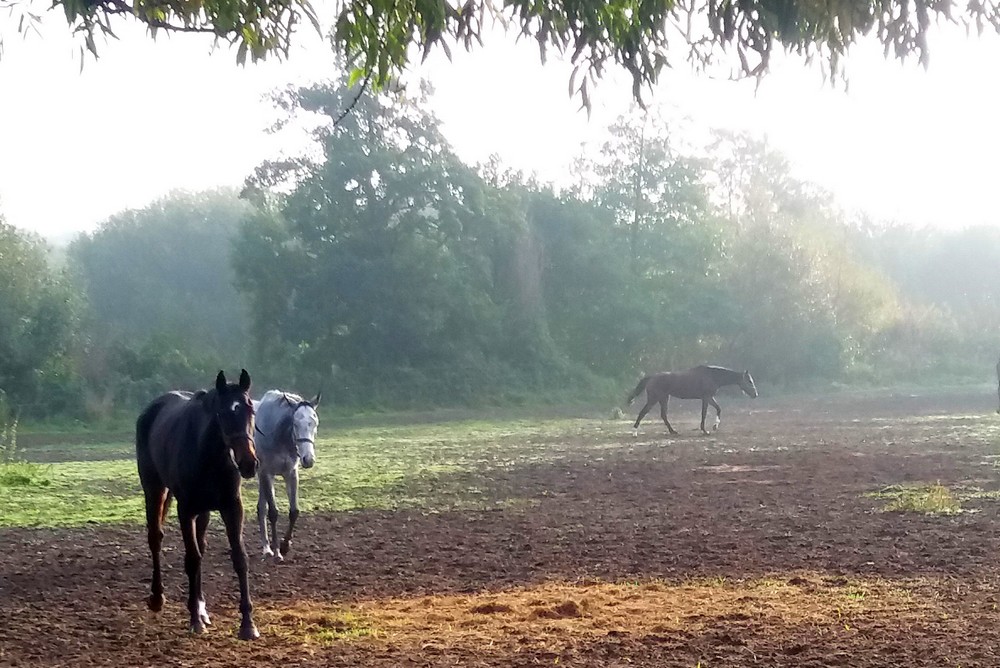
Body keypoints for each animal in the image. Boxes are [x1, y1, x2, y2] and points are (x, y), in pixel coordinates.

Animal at [137, 368, 262, 640]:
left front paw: (248, 624)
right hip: (154, 490)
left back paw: (202, 608)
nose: (249, 463)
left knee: (201, 547)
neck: (208, 454)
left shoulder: (232, 508)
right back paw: (158, 597)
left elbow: (239, 558)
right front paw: (194, 619)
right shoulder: (186, 510)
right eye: (224, 413)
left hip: (203, 511)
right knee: (156, 538)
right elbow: (192, 559)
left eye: (251, 410)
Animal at [254, 388, 320, 560]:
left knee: (261, 508)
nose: (308, 459)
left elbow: (294, 511)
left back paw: (266, 548)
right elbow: (273, 512)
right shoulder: (267, 473)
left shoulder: (290, 473)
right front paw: (278, 551)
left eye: (314, 423)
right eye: (295, 424)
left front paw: (284, 546)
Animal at [624, 362, 756, 436]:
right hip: (654, 399)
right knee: (643, 413)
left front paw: (714, 426)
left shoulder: (709, 398)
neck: (712, 376)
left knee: (663, 415)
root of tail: (651, 377)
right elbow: (704, 414)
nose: (755, 394)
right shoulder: (706, 398)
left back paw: (673, 431)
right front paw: (705, 431)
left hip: (664, 398)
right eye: (749, 381)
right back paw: (634, 433)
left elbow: (719, 409)